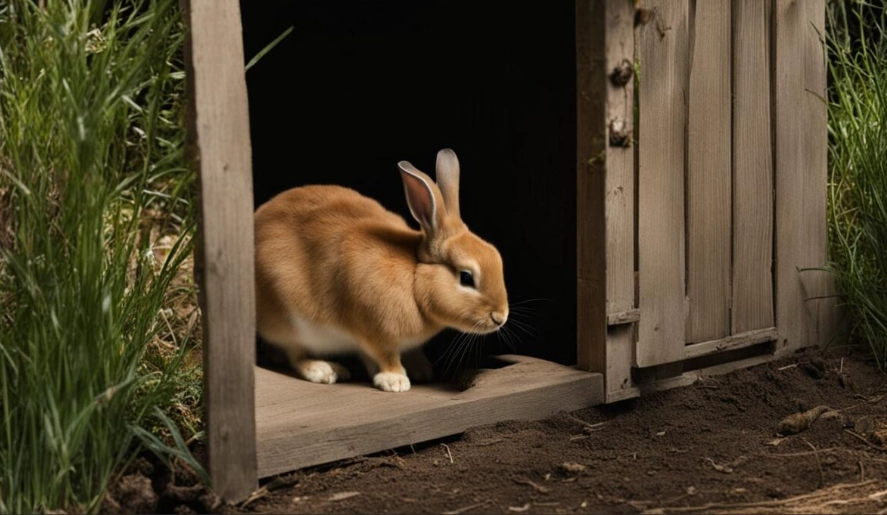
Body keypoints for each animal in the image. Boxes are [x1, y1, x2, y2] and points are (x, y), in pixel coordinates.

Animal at [254, 149, 509, 392]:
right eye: (466, 277)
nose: (500, 317)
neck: (414, 280)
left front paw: (422, 371)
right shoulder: (375, 331)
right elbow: (386, 356)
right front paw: (395, 381)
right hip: (290, 321)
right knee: (296, 355)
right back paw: (324, 370)